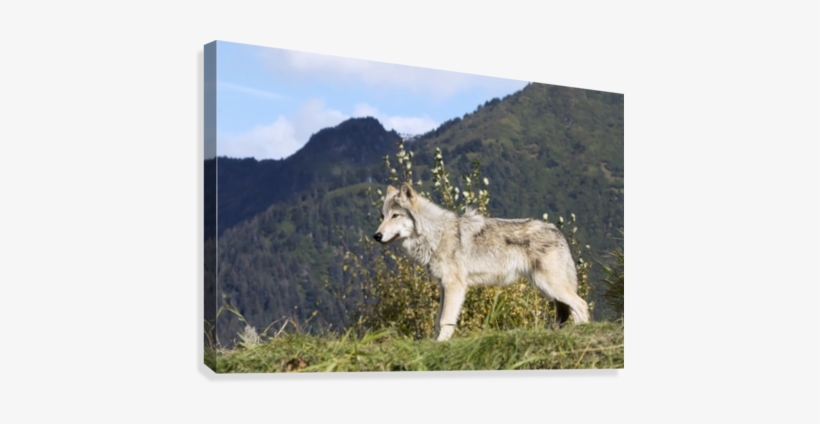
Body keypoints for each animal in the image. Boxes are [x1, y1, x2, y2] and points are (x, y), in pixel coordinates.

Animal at [374, 183, 590, 341]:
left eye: (395, 215)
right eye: (382, 216)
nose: (377, 236)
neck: (435, 234)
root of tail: (557, 231)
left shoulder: (455, 286)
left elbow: (445, 320)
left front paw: (441, 344)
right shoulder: (444, 286)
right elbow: (438, 321)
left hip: (548, 284)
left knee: (581, 304)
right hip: (545, 287)